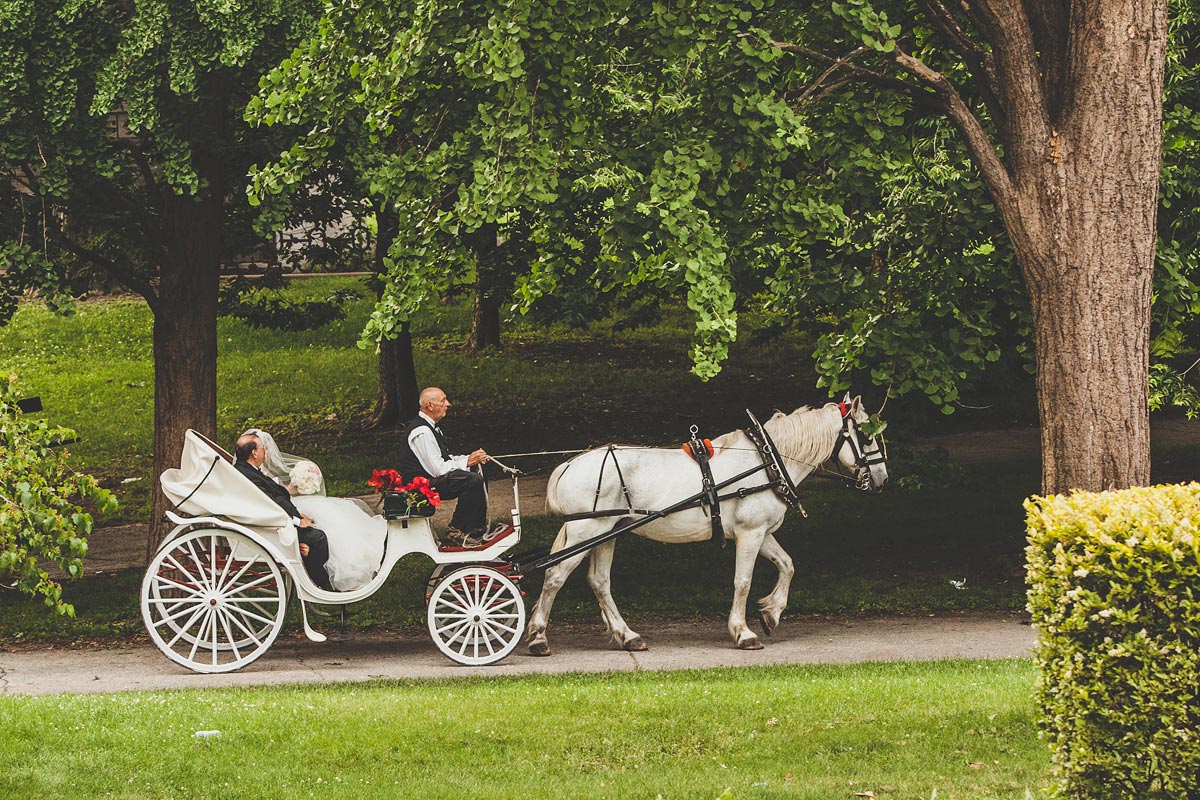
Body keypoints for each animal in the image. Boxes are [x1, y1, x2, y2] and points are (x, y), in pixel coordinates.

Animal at [528, 395, 892, 657]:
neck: (767, 462)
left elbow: (788, 565)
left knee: (600, 582)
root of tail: (570, 464)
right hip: (587, 531)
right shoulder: (750, 533)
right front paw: (743, 632)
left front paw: (771, 613)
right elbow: (743, 581)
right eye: (865, 434)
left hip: (605, 533)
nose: (882, 478)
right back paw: (538, 637)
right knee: (555, 576)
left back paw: (627, 636)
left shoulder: (761, 532)